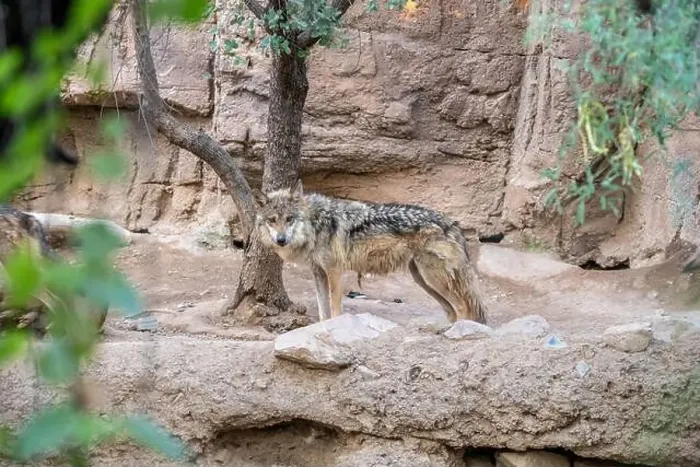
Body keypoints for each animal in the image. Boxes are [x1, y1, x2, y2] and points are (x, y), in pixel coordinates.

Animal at [254, 180, 488, 324]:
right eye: (272, 220)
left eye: (289, 219)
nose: (281, 240)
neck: (316, 224)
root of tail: (451, 222)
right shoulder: (318, 272)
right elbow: (323, 312)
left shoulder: (334, 271)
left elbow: (335, 310)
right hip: (423, 279)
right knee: (452, 311)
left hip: (434, 279)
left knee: (464, 309)